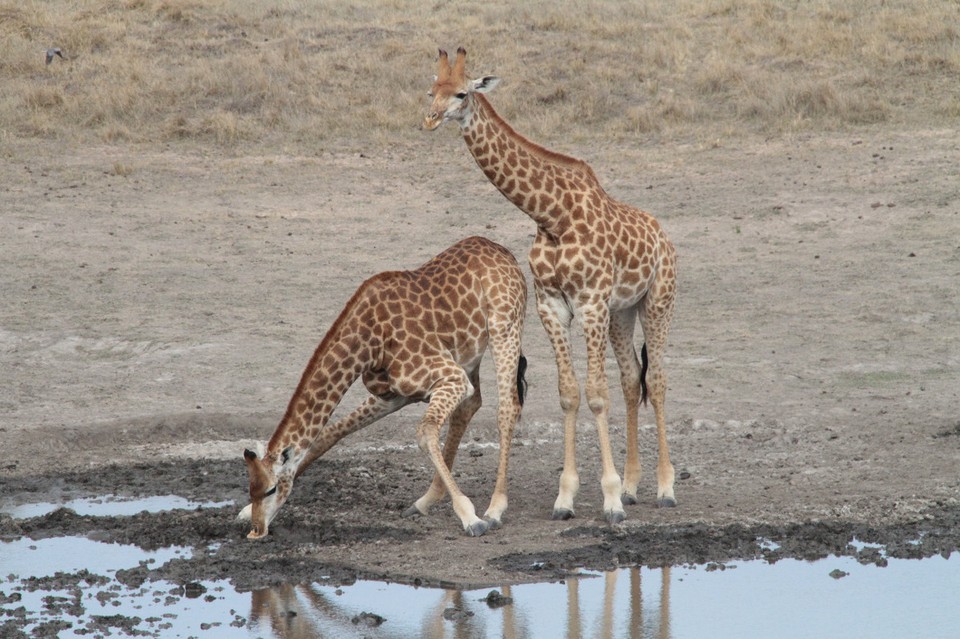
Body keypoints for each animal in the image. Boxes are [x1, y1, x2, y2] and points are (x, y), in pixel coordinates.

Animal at [238, 238, 524, 536]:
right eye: (251, 490)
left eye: (271, 490)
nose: (257, 531)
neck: (368, 342)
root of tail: (501, 250)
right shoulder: (393, 395)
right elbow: (329, 434)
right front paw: (244, 512)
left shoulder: (451, 377)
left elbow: (425, 431)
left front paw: (470, 517)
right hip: (469, 355)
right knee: (470, 406)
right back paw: (425, 501)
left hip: (505, 329)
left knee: (507, 408)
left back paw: (494, 509)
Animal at [424, 46, 680, 524]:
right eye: (431, 90)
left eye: (462, 93)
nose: (429, 119)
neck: (551, 215)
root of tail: (663, 236)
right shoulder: (553, 305)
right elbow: (569, 393)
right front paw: (567, 498)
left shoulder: (591, 301)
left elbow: (595, 394)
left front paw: (610, 500)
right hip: (622, 312)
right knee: (631, 380)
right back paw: (635, 485)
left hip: (659, 300)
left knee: (656, 380)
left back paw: (664, 487)